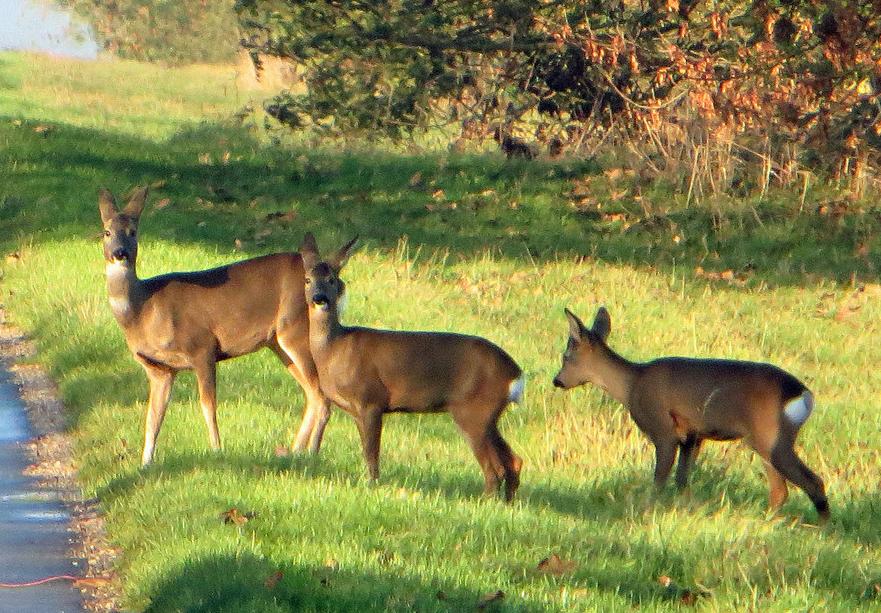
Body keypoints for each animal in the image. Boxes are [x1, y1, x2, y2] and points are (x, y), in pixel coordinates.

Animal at [98, 187, 332, 466]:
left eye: (133, 232)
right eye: (107, 232)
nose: (120, 252)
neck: (143, 310)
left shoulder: (202, 346)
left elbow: (207, 406)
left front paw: (216, 451)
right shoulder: (160, 369)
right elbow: (153, 418)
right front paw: (145, 464)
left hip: (297, 330)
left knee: (321, 395)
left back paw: (309, 453)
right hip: (277, 343)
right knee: (312, 394)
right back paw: (295, 452)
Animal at [299, 233, 525, 501]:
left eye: (332, 279)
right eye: (308, 279)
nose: (319, 299)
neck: (334, 349)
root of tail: (515, 373)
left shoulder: (371, 400)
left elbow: (371, 455)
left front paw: (372, 485)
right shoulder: (355, 410)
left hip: (474, 410)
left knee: (495, 467)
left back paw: (486, 501)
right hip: (488, 414)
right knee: (514, 461)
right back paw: (506, 503)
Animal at [552, 307, 829, 521]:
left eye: (566, 356)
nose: (557, 381)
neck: (631, 385)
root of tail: (803, 394)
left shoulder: (662, 427)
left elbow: (660, 478)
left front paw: (647, 509)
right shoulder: (693, 436)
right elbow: (682, 480)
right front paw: (685, 508)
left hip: (770, 435)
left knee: (812, 482)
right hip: (766, 440)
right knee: (780, 490)